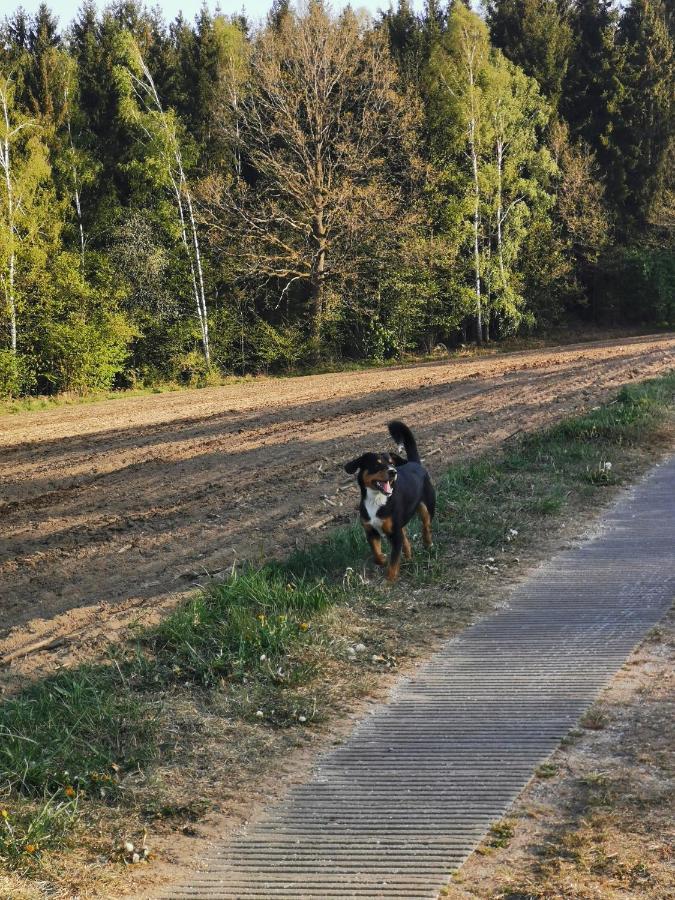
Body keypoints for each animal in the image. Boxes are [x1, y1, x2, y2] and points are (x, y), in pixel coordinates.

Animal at [346, 422, 436, 584]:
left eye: (391, 463)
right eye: (377, 464)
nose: (393, 472)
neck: (376, 499)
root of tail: (414, 463)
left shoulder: (395, 534)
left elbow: (394, 561)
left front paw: (389, 580)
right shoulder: (371, 532)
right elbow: (377, 555)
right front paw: (383, 559)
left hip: (428, 506)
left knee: (426, 526)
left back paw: (427, 544)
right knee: (406, 539)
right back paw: (409, 557)